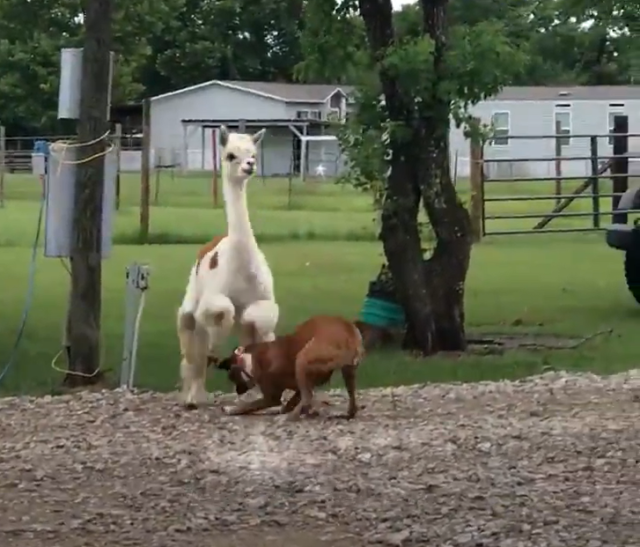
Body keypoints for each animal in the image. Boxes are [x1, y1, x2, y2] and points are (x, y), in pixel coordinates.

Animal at [218, 314, 362, 422]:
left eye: (232, 376)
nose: (238, 391)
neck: (252, 358)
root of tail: (348, 332)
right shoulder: (299, 387)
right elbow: (291, 402)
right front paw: (287, 410)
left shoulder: (271, 397)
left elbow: (249, 405)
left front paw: (231, 409)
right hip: (348, 371)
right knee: (352, 399)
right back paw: (348, 413)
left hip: (302, 359)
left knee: (308, 396)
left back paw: (289, 417)